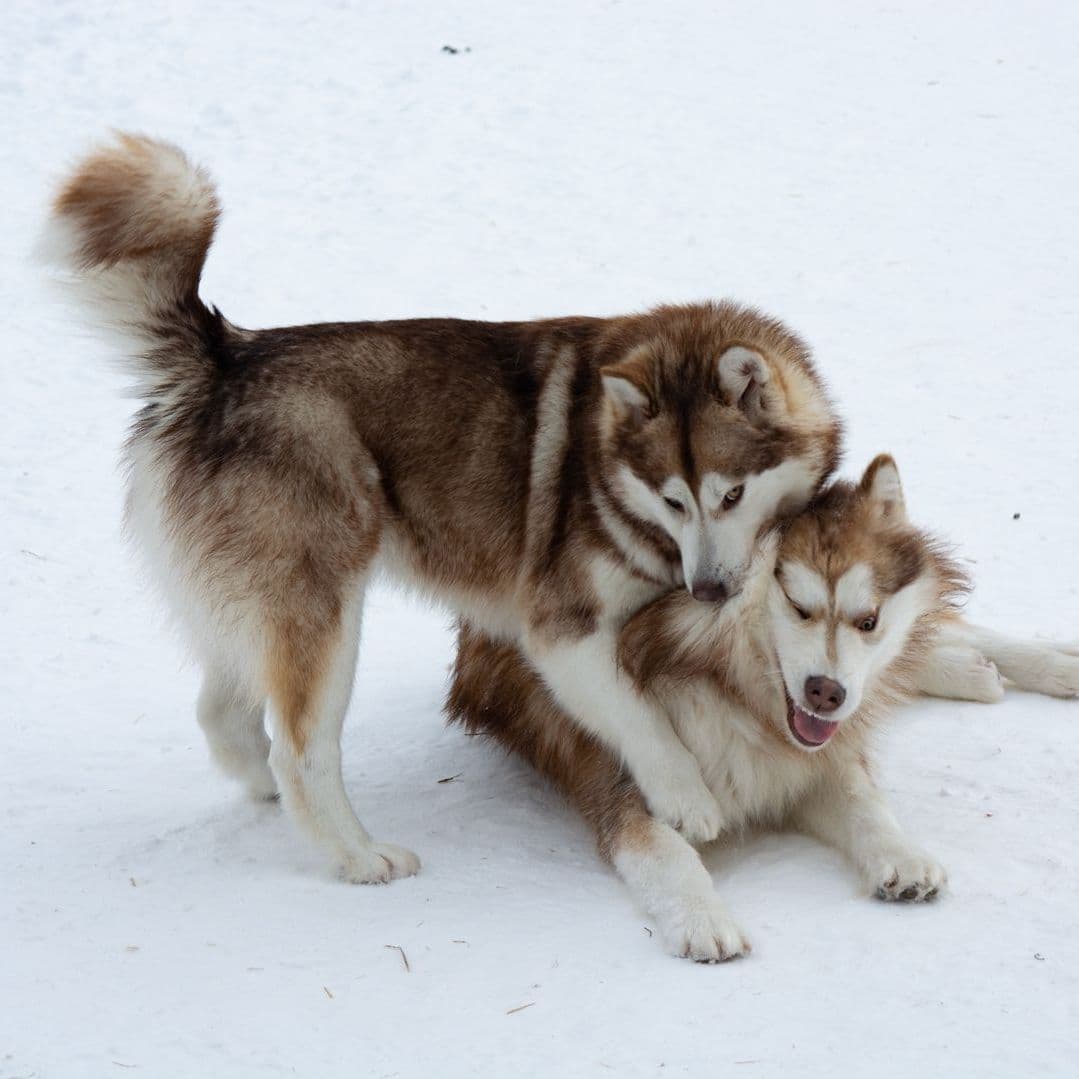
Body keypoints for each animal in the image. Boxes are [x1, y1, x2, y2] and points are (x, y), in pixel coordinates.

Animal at [46, 134, 841, 880]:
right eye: (674, 500)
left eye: (729, 495)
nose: (705, 589)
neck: (610, 476)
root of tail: (226, 358)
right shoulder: (560, 632)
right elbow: (640, 716)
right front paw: (687, 797)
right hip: (326, 615)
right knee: (301, 753)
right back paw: (358, 855)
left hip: (255, 606)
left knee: (221, 711)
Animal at [446, 455, 1079, 962]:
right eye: (797, 606)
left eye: (867, 620)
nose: (827, 692)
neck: (736, 693)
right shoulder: (630, 780)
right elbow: (668, 854)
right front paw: (704, 918)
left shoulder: (814, 759)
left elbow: (864, 802)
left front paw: (902, 856)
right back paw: (972, 671)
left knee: (943, 628)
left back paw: (1044, 663)